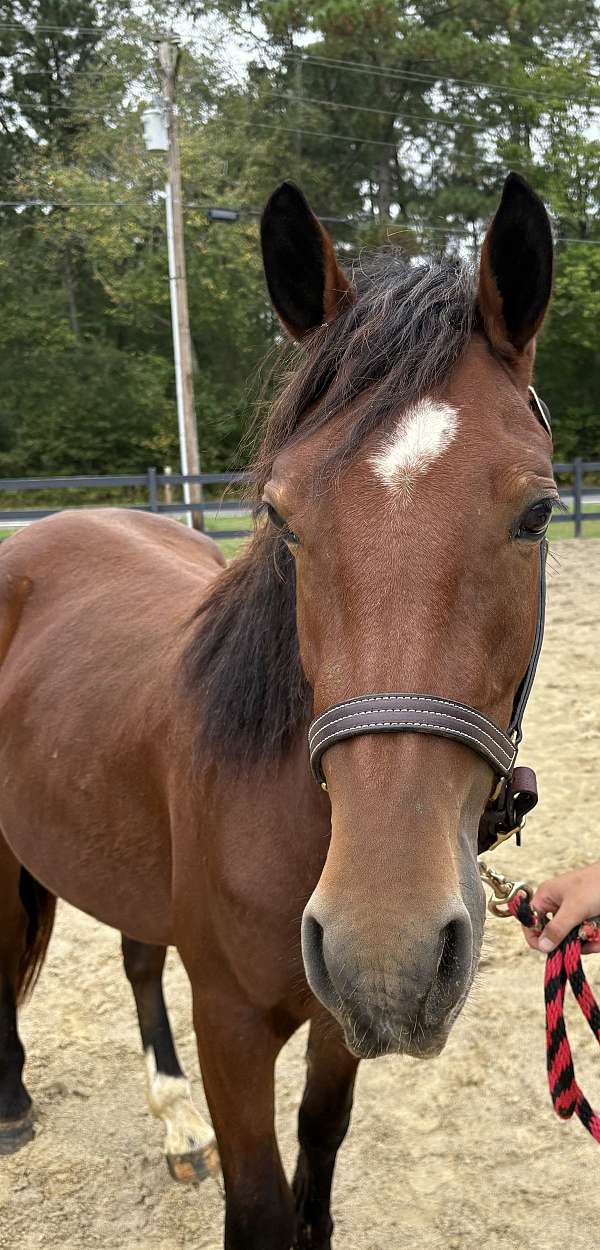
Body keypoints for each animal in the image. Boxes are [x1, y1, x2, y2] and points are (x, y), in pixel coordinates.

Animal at [0, 172, 557, 1250]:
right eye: (283, 516)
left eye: (539, 511)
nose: (385, 949)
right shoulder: (230, 1024)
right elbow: (258, 1206)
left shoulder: (337, 1026)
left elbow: (319, 1157)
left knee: (137, 957)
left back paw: (173, 1121)